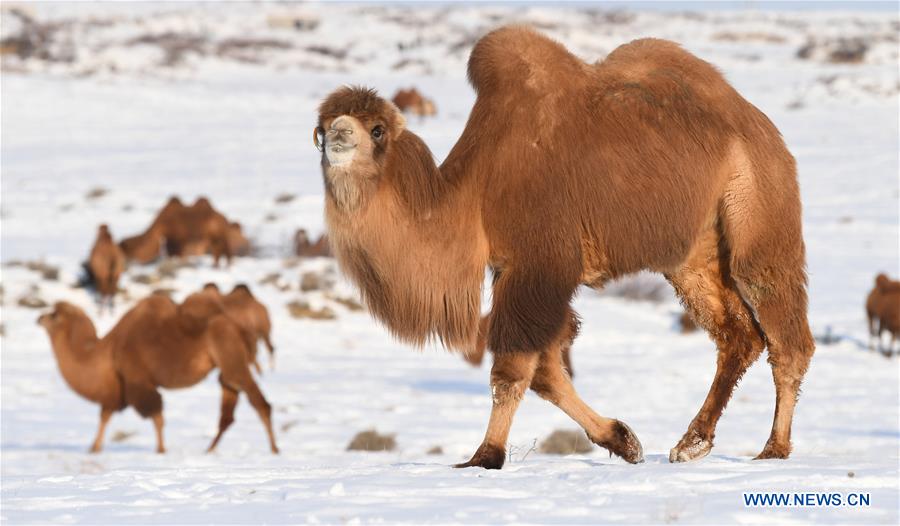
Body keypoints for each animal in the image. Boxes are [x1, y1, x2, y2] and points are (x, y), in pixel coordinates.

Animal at [316, 25, 816, 470]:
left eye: (377, 129)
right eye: (320, 128)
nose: (339, 134)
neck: (475, 191)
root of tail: (758, 124)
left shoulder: (541, 262)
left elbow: (514, 368)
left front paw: (485, 456)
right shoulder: (513, 269)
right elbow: (547, 371)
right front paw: (624, 440)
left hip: (758, 209)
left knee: (785, 331)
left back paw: (773, 449)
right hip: (692, 254)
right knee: (737, 335)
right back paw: (693, 442)